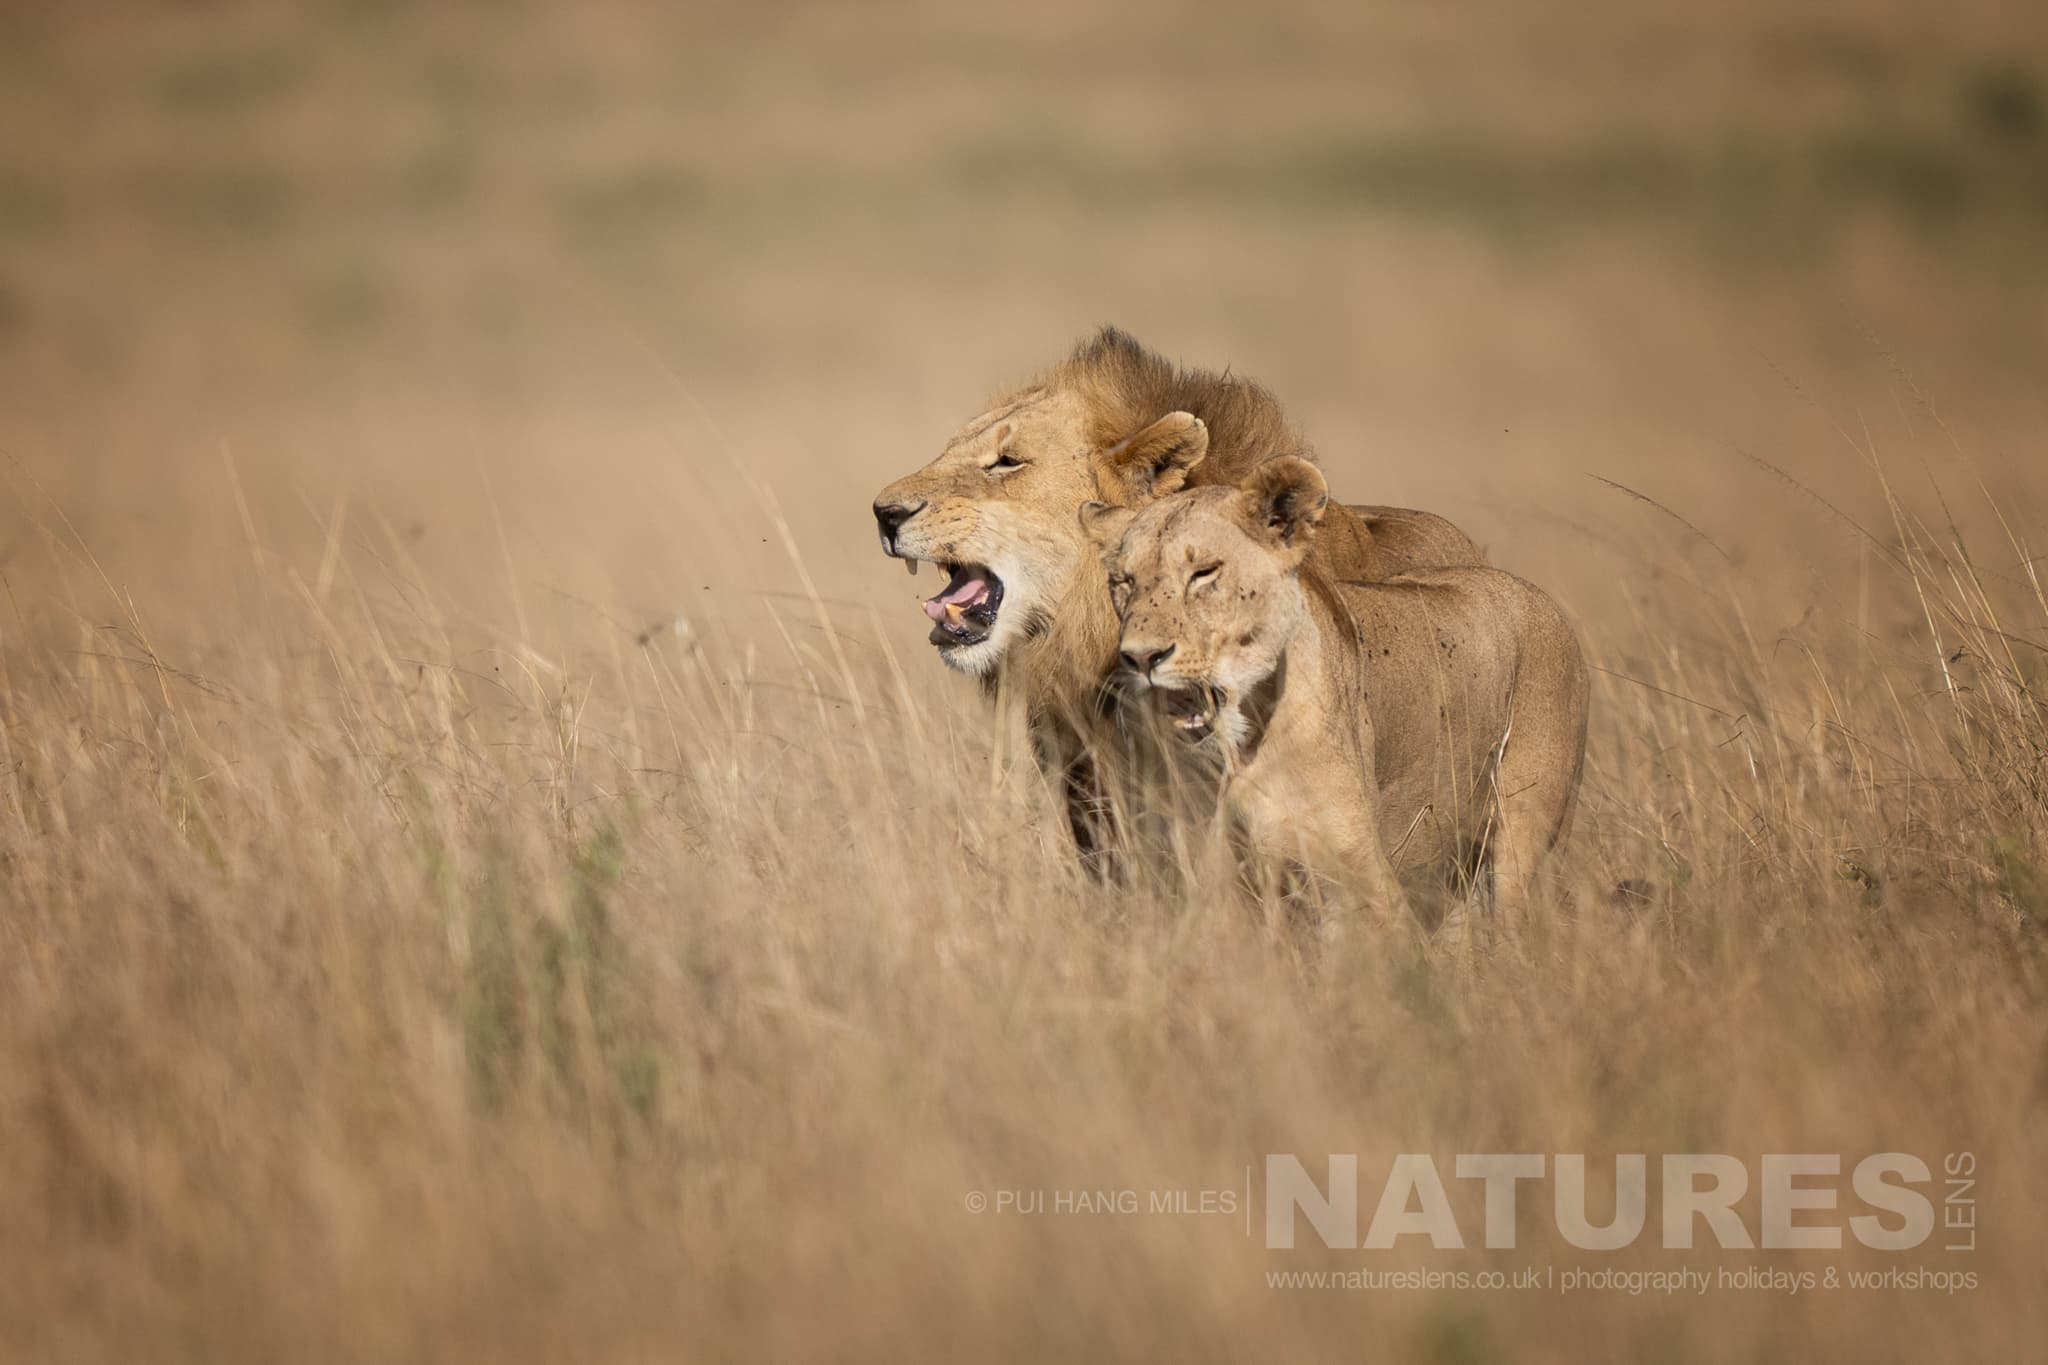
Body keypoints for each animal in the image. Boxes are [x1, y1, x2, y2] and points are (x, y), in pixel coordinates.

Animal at [1081, 456, 1588, 926]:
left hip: (1524, 847)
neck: (1242, 749)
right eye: (1123, 581)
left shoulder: (1365, 881)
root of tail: (1532, 592)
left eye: (1204, 573)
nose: (1140, 657)